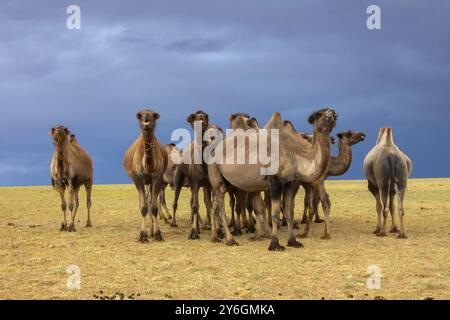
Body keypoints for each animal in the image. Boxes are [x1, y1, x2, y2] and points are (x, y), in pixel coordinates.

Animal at [124, 109, 168, 241]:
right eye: (140, 115)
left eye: (154, 115)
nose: (146, 120)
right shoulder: (137, 179)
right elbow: (143, 208)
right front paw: (143, 235)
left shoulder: (157, 178)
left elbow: (154, 208)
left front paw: (157, 234)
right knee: (143, 203)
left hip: (150, 183)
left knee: (149, 202)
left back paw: (151, 231)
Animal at [171, 109, 215, 238]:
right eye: (194, 116)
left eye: (205, 116)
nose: (201, 118)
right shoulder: (194, 182)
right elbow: (195, 206)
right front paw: (194, 232)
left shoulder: (208, 183)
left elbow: (210, 204)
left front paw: (213, 229)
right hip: (179, 178)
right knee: (176, 201)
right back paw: (173, 223)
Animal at [209, 109, 336, 251]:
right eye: (319, 114)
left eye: (332, 113)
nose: (332, 113)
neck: (294, 153)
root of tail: (213, 151)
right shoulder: (275, 183)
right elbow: (275, 213)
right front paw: (275, 243)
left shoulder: (291, 183)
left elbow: (288, 211)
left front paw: (293, 241)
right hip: (216, 174)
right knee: (221, 207)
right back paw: (230, 240)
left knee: (215, 206)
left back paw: (215, 237)